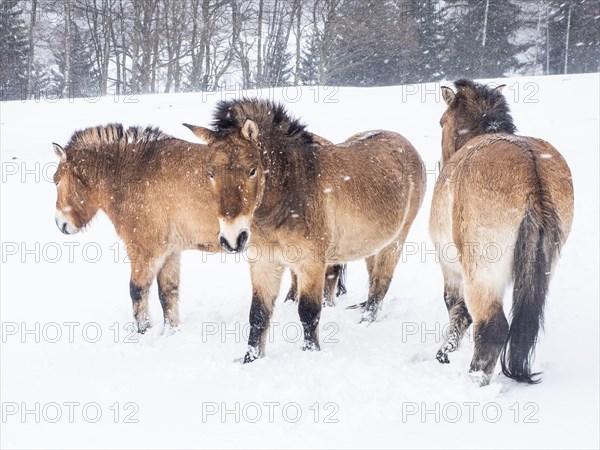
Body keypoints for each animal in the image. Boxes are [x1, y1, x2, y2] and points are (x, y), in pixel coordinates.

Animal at [186, 99, 426, 362]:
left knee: (381, 282)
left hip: (396, 240)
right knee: (373, 280)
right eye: (210, 173)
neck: (290, 192)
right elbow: (258, 314)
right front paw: (250, 359)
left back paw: (366, 321)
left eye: (252, 170)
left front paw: (310, 353)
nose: (232, 239)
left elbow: (308, 312)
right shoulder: (264, 263)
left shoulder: (310, 263)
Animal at [428, 79, 576, 384]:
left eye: (441, 122)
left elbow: (456, 307)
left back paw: (475, 381)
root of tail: (531, 168)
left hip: (482, 271)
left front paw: (446, 351)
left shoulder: (451, 268)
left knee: (491, 328)